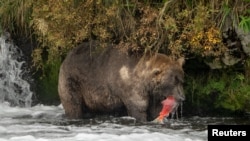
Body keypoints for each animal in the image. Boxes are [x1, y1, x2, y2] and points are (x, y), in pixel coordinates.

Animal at [57, 40, 185, 121]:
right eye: (174, 80)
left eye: (181, 80)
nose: (183, 97)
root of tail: (67, 56)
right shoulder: (132, 88)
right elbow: (139, 108)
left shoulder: (153, 94)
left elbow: (155, 109)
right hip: (73, 80)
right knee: (73, 104)